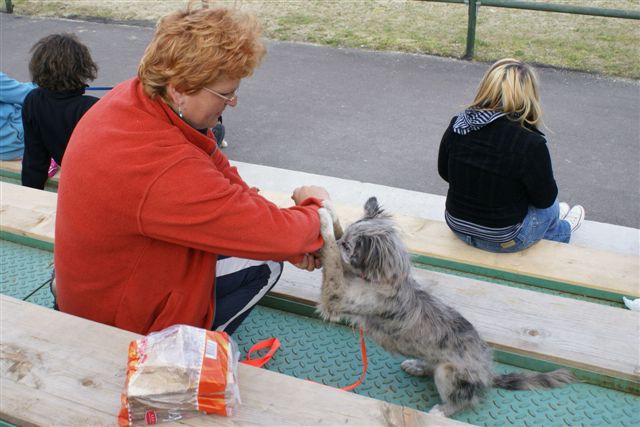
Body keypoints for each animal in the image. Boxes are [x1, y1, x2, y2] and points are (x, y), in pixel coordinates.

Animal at [318, 198, 576, 418]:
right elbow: (334, 255)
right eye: (345, 238)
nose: (342, 242)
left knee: (465, 399)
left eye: (347, 247)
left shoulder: (337, 296)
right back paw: (416, 366)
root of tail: (488, 374)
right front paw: (330, 212)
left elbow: (331, 258)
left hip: (448, 372)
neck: (382, 279)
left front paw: (324, 225)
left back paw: (442, 410)